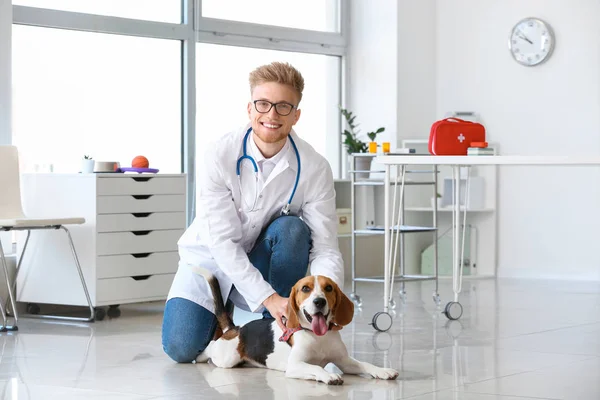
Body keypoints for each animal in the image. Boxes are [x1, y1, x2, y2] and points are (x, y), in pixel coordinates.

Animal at [192, 270, 398, 386]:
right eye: (305, 289)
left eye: (329, 288)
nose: (319, 301)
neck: (318, 337)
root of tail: (234, 328)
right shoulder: (295, 366)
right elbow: (315, 368)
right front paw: (328, 376)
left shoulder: (344, 361)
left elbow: (365, 364)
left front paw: (383, 370)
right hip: (227, 358)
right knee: (210, 348)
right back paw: (199, 356)